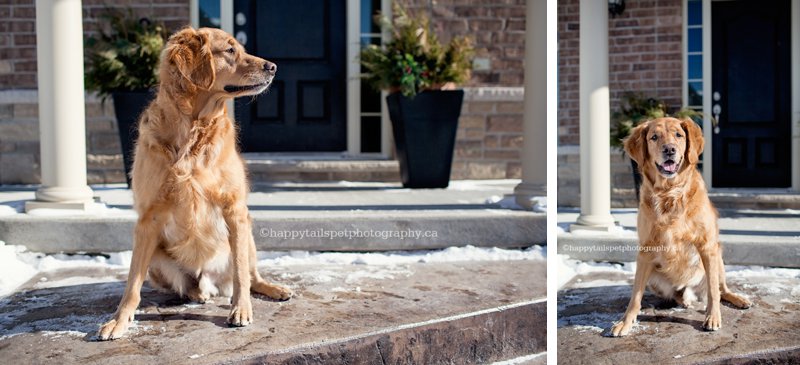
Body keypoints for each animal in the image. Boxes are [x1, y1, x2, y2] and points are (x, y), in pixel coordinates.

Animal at [97, 27, 290, 340]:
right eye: (230, 50)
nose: (272, 67)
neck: (192, 131)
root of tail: (208, 281)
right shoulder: (148, 219)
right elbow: (132, 283)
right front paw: (119, 320)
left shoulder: (235, 210)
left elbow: (240, 272)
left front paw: (242, 309)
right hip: (157, 258)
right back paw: (197, 294)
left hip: (248, 235)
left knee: (250, 276)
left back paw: (271, 289)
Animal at [608, 116, 752, 336]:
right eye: (654, 137)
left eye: (679, 135)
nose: (669, 149)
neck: (670, 194)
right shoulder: (646, 251)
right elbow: (635, 296)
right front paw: (625, 322)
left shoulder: (707, 246)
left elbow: (713, 291)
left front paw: (713, 317)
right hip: (654, 278)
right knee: (676, 294)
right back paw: (684, 300)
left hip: (718, 257)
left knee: (721, 289)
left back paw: (739, 299)